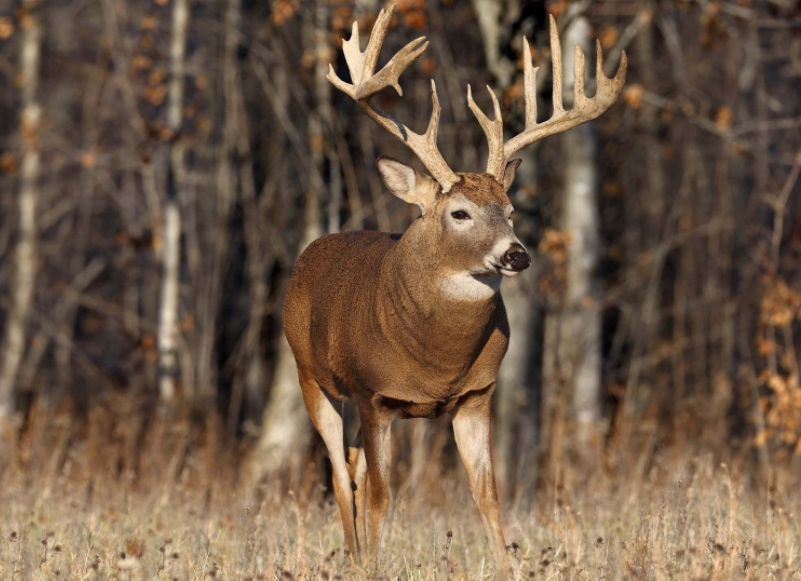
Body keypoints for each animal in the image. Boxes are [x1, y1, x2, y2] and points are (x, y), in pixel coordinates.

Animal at [282, 5, 624, 576]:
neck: (436, 360)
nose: (517, 255)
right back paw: (354, 558)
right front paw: (375, 567)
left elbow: (487, 494)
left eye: (510, 209)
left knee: (351, 466)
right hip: (311, 375)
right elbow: (383, 495)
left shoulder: (477, 395)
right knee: (337, 471)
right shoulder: (374, 394)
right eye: (459, 213)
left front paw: (507, 568)